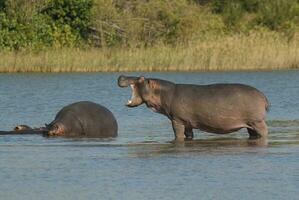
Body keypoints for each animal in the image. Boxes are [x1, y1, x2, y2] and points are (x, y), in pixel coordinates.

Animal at [118, 74, 270, 141]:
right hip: (250, 125)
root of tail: (263, 95)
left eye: (141, 78)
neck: (160, 92)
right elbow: (189, 135)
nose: (121, 75)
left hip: (257, 122)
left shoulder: (177, 120)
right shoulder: (188, 123)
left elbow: (178, 135)